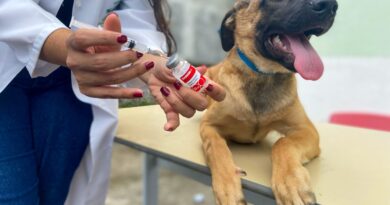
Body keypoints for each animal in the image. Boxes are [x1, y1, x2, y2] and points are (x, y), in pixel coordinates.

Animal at [200, 0, 336, 205]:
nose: (331, 6)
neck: (263, 76)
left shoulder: (306, 130)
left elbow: (282, 143)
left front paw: (291, 181)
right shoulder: (209, 126)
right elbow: (216, 148)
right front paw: (227, 186)